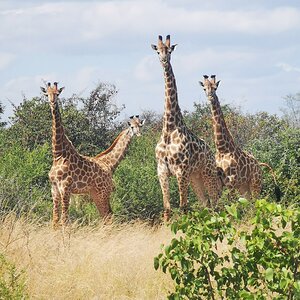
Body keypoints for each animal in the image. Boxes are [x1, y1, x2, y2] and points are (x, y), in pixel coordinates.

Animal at [41, 82, 144, 227]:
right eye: (46, 94)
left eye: (57, 93)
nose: (52, 101)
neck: (58, 154)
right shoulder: (54, 188)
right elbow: (55, 220)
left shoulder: (65, 188)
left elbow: (64, 220)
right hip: (96, 193)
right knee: (106, 216)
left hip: (103, 192)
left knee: (108, 216)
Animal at [151, 35, 224, 220]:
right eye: (158, 51)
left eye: (170, 51)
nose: (164, 61)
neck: (169, 127)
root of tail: (211, 153)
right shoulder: (162, 170)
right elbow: (167, 208)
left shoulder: (181, 170)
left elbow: (183, 206)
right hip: (195, 178)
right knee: (206, 203)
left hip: (207, 173)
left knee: (215, 201)